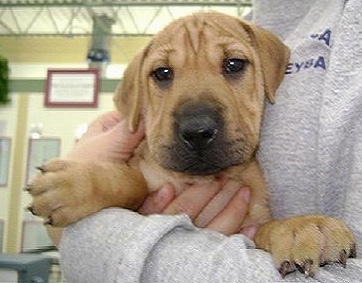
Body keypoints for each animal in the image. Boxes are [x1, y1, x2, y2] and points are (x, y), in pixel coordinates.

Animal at [26, 12, 354, 278]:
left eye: (234, 64)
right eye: (162, 73)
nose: (197, 131)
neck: (198, 179)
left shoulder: (249, 223)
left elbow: (265, 226)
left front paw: (301, 227)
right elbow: (132, 181)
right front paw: (72, 184)